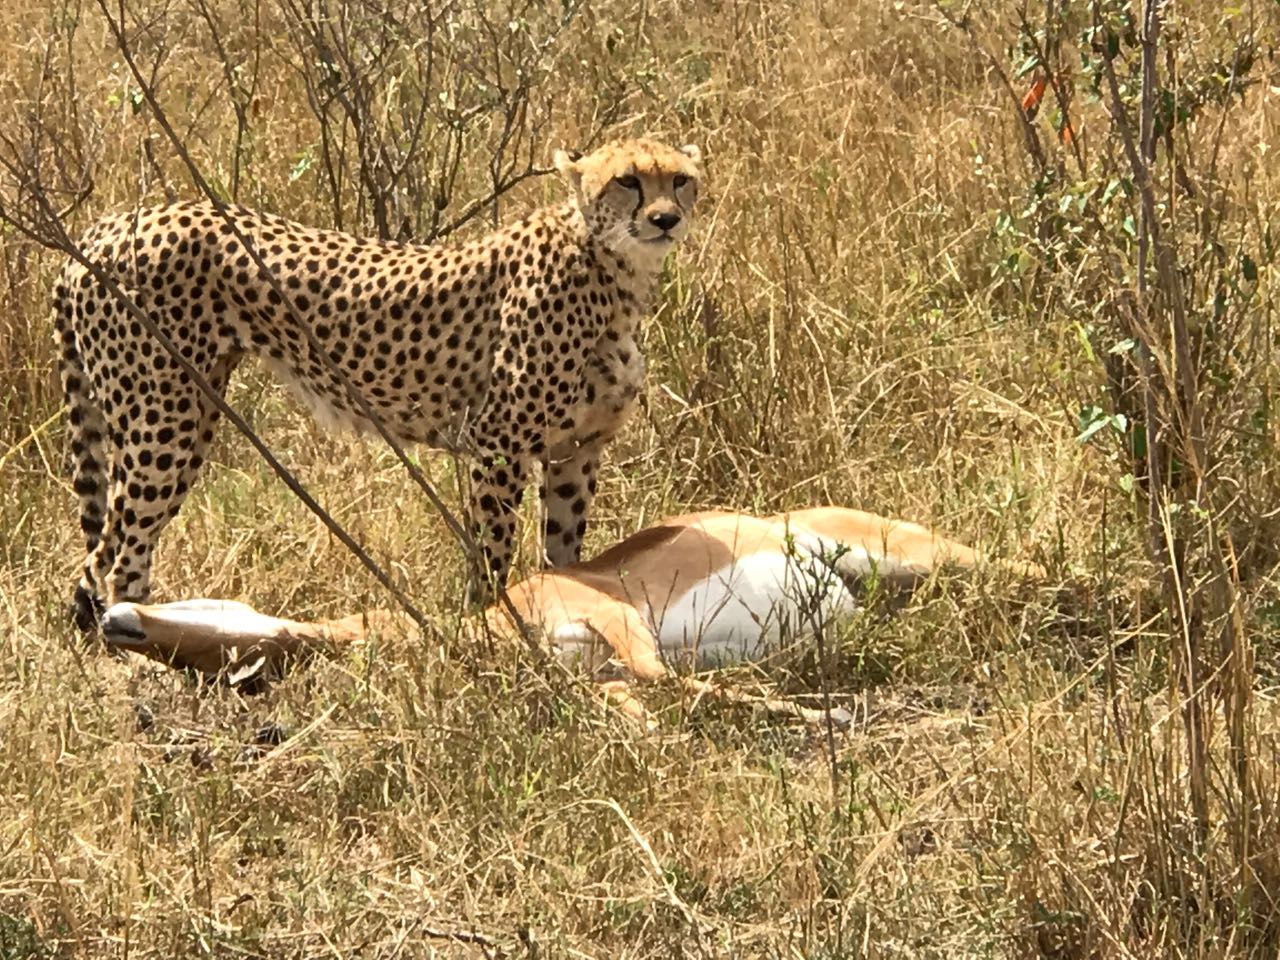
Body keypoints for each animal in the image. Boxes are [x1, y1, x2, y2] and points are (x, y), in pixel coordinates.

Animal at [57, 136, 701, 632]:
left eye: (681, 180)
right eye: (626, 181)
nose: (666, 219)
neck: (613, 270)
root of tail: (102, 228)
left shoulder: (576, 451)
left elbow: (565, 552)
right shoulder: (497, 445)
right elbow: (493, 549)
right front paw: (491, 626)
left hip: (189, 414)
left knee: (110, 552)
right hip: (163, 423)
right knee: (112, 560)